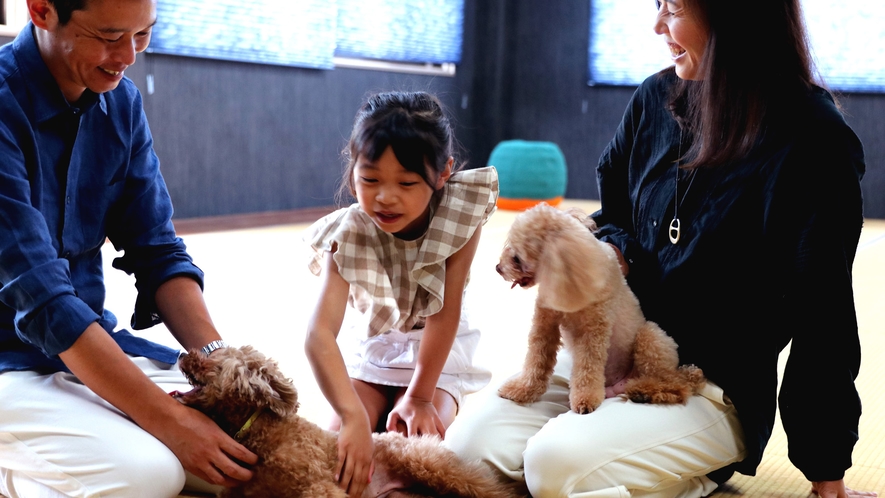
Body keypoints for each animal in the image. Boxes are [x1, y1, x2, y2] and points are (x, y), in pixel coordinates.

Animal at [173, 346, 516, 498]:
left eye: (211, 359)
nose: (179, 354)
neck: (262, 433)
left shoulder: (319, 486)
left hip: (429, 466)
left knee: (490, 489)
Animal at [494, 202, 700, 412]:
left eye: (517, 258)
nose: (498, 268)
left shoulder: (592, 331)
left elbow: (587, 367)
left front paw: (585, 400)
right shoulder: (545, 325)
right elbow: (536, 361)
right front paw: (520, 389)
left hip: (650, 337)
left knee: (677, 384)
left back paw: (646, 391)